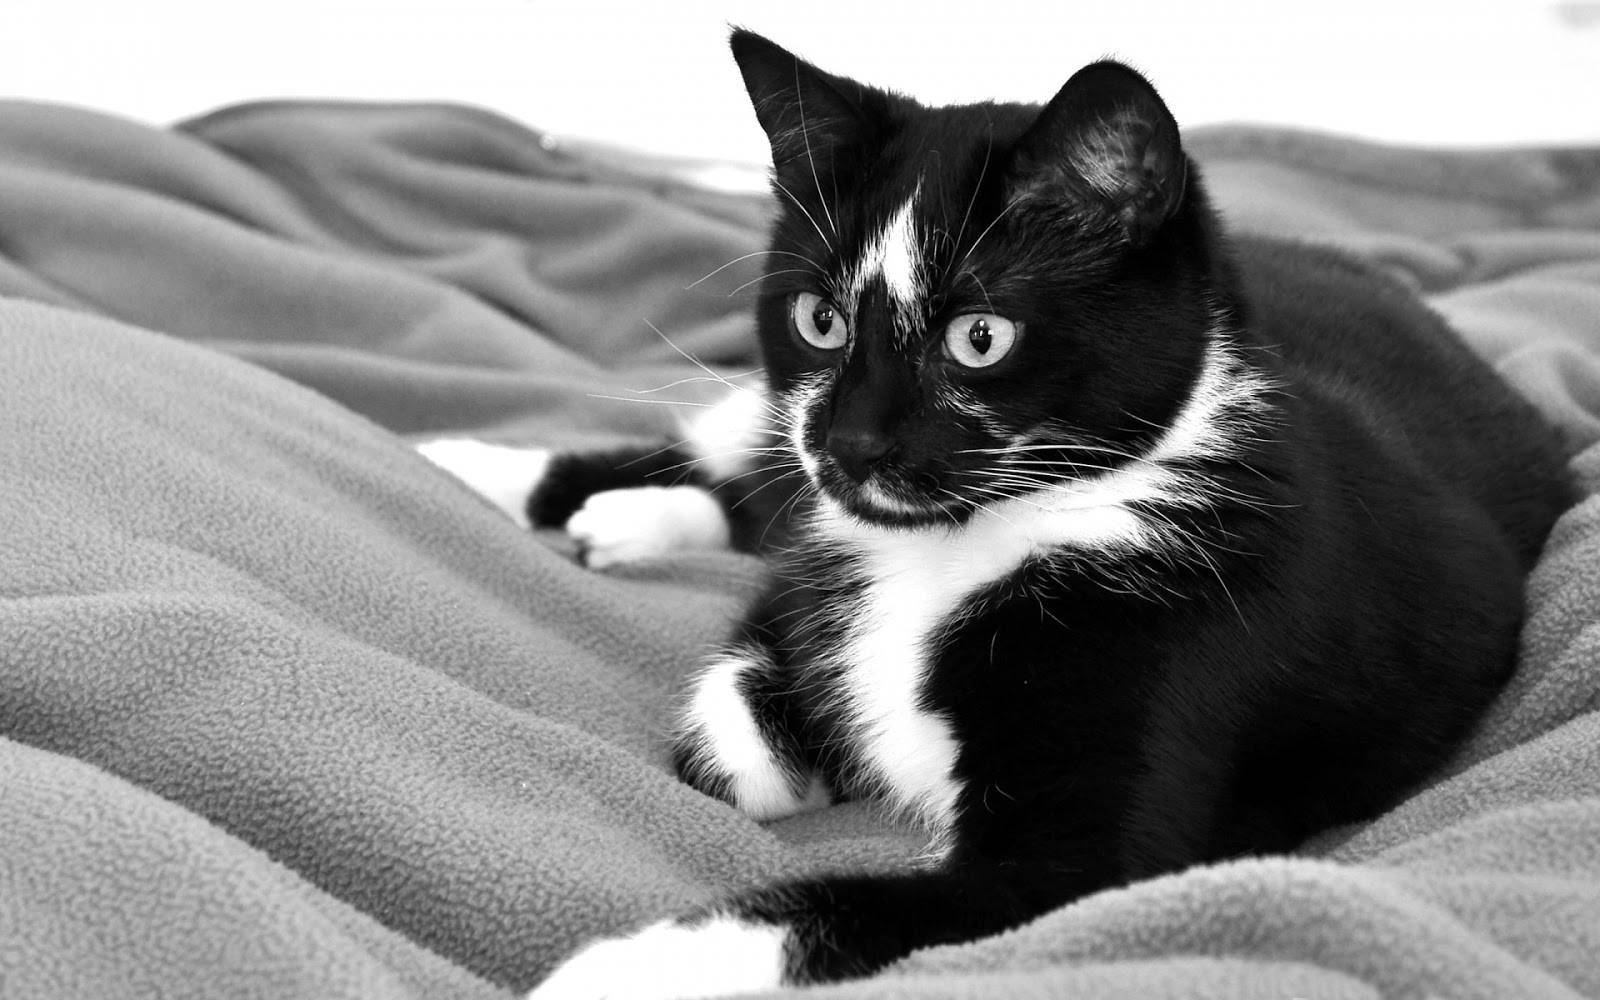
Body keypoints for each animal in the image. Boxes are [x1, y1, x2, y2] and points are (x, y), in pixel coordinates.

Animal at [416, 27, 1574, 998]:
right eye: (819, 318)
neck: (969, 549)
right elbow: (732, 712)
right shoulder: (816, 561)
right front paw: (793, 741)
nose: (852, 444)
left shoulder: (1125, 780)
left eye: (980, 337)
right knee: (739, 462)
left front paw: (626, 966)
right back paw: (481, 467)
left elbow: (892, 885)